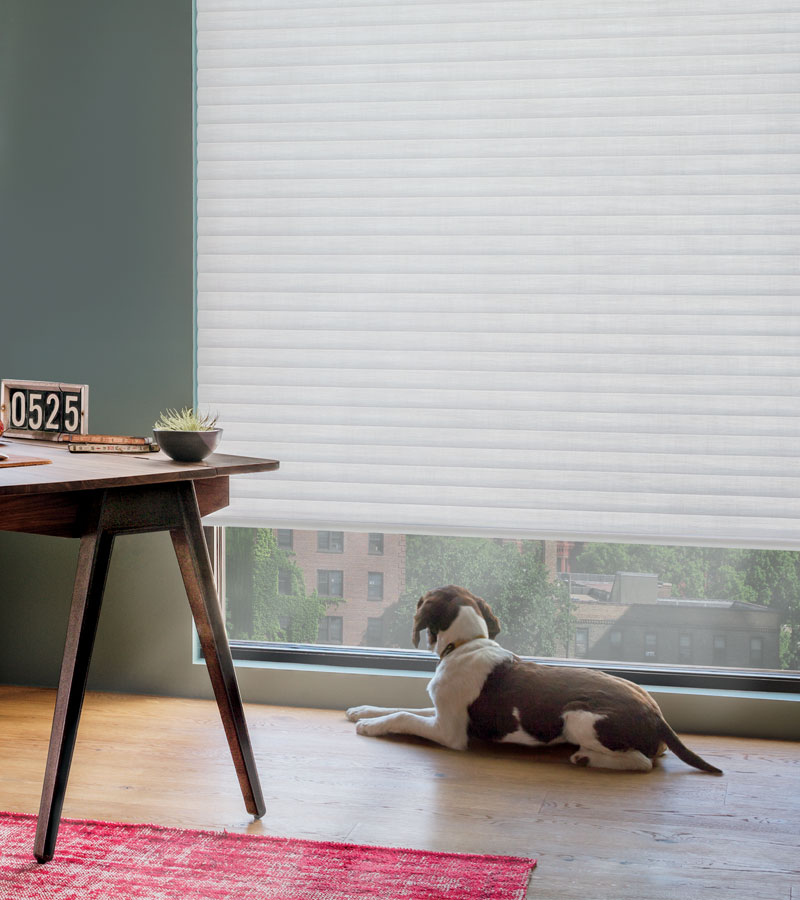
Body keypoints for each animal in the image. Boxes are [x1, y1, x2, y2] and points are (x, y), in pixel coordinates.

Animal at [346, 584, 720, 772]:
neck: (466, 644)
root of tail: (657, 717)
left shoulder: (448, 730)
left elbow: (404, 715)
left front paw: (369, 726)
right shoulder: (441, 711)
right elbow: (401, 707)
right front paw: (361, 711)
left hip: (578, 717)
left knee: (642, 762)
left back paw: (587, 758)